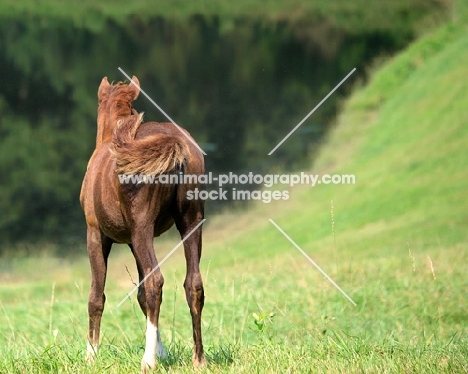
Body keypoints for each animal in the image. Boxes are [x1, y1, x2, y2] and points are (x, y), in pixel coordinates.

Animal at [80, 76, 207, 372]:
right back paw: (198, 358)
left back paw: (148, 361)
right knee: (193, 283)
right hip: (190, 222)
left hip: (142, 230)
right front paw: (162, 350)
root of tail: (172, 141)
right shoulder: (131, 241)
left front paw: (91, 355)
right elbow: (139, 295)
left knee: (155, 282)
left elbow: (97, 296)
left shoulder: (96, 234)